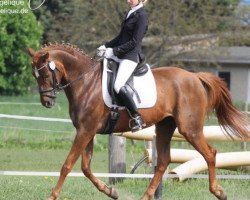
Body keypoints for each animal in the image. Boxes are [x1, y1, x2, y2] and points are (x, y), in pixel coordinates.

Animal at [26, 44, 249, 200]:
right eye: (34, 75)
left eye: (44, 73)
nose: (47, 102)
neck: (85, 82)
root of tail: (195, 77)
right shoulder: (87, 131)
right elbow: (85, 167)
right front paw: (111, 191)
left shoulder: (85, 131)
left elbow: (67, 165)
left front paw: (52, 196)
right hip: (165, 126)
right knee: (163, 162)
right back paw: (146, 196)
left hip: (189, 129)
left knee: (210, 153)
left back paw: (218, 192)